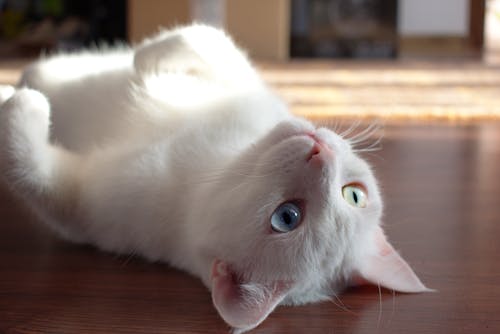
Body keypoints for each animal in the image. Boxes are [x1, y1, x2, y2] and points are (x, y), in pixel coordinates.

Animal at [0, 24, 430, 332]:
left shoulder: (82, 204)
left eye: (287, 217)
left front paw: (22, 103)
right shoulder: (239, 82)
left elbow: (30, 168)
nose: (318, 151)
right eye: (355, 194)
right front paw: (148, 60)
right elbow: (207, 41)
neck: (213, 161)